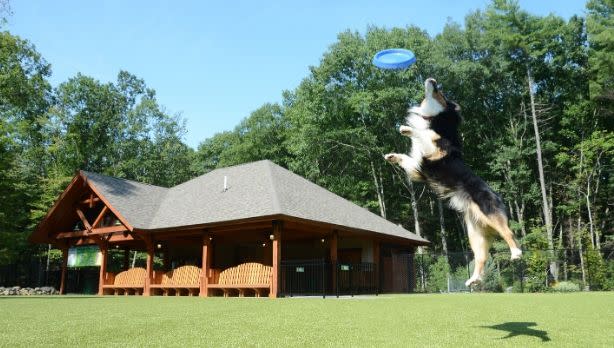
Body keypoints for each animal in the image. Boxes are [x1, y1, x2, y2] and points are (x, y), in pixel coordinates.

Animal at [388, 78, 524, 286]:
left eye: (441, 93)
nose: (432, 80)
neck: (433, 118)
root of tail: (499, 196)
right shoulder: (418, 167)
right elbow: (407, 158)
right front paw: (392, 156)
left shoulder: (435, 150)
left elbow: (425, 134)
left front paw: (407, 129)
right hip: (475, 232)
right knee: (481, 257)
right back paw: (474, 280)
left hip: (490, 213)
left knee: (509, 233)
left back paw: (516, 253)